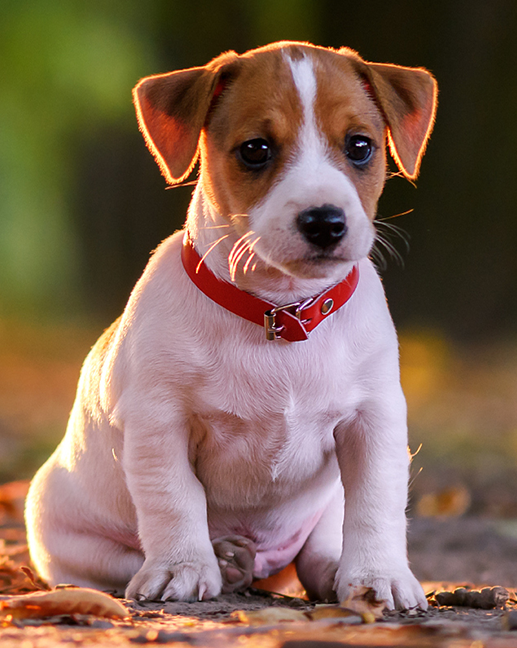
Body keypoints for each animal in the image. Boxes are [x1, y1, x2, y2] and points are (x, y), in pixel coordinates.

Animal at [24, 43, 436, 612]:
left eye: (359, 146)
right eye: (255, 149)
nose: (325, 221)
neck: (279, 314)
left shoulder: (373, 420)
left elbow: (376, 503)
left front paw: (380, 574)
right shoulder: (160, 421)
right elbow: (174, 499)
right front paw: (182, 568)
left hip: (324, 508)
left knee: (318, 549)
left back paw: (326, 569)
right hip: (60, 531)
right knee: (120, 559)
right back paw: (222, 561)